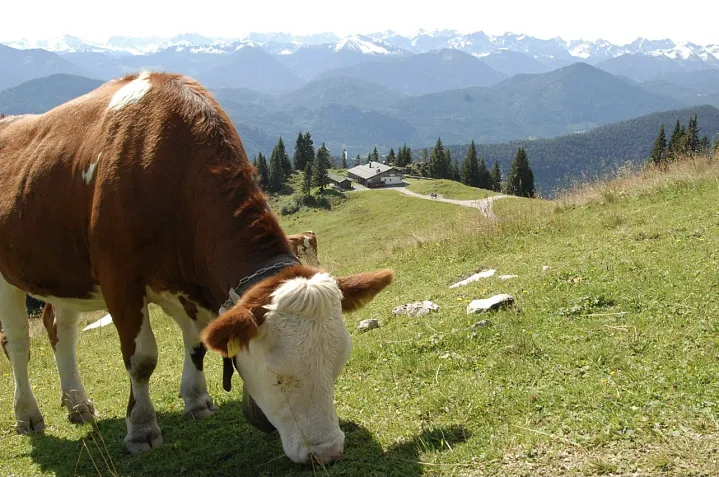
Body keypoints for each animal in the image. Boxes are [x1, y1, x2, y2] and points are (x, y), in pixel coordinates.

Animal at [0, 72, 394, 462]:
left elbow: (198, 343)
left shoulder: (186, 285)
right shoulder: (120, 280)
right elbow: (142, 359)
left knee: (58, 327)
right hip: (9, 277)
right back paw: (27, 415)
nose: (327, 452)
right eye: (277, 377)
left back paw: (77, 404)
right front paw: (141, 428)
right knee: (17, 342)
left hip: (62, 273)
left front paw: (197, 401)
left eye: (337, 365)